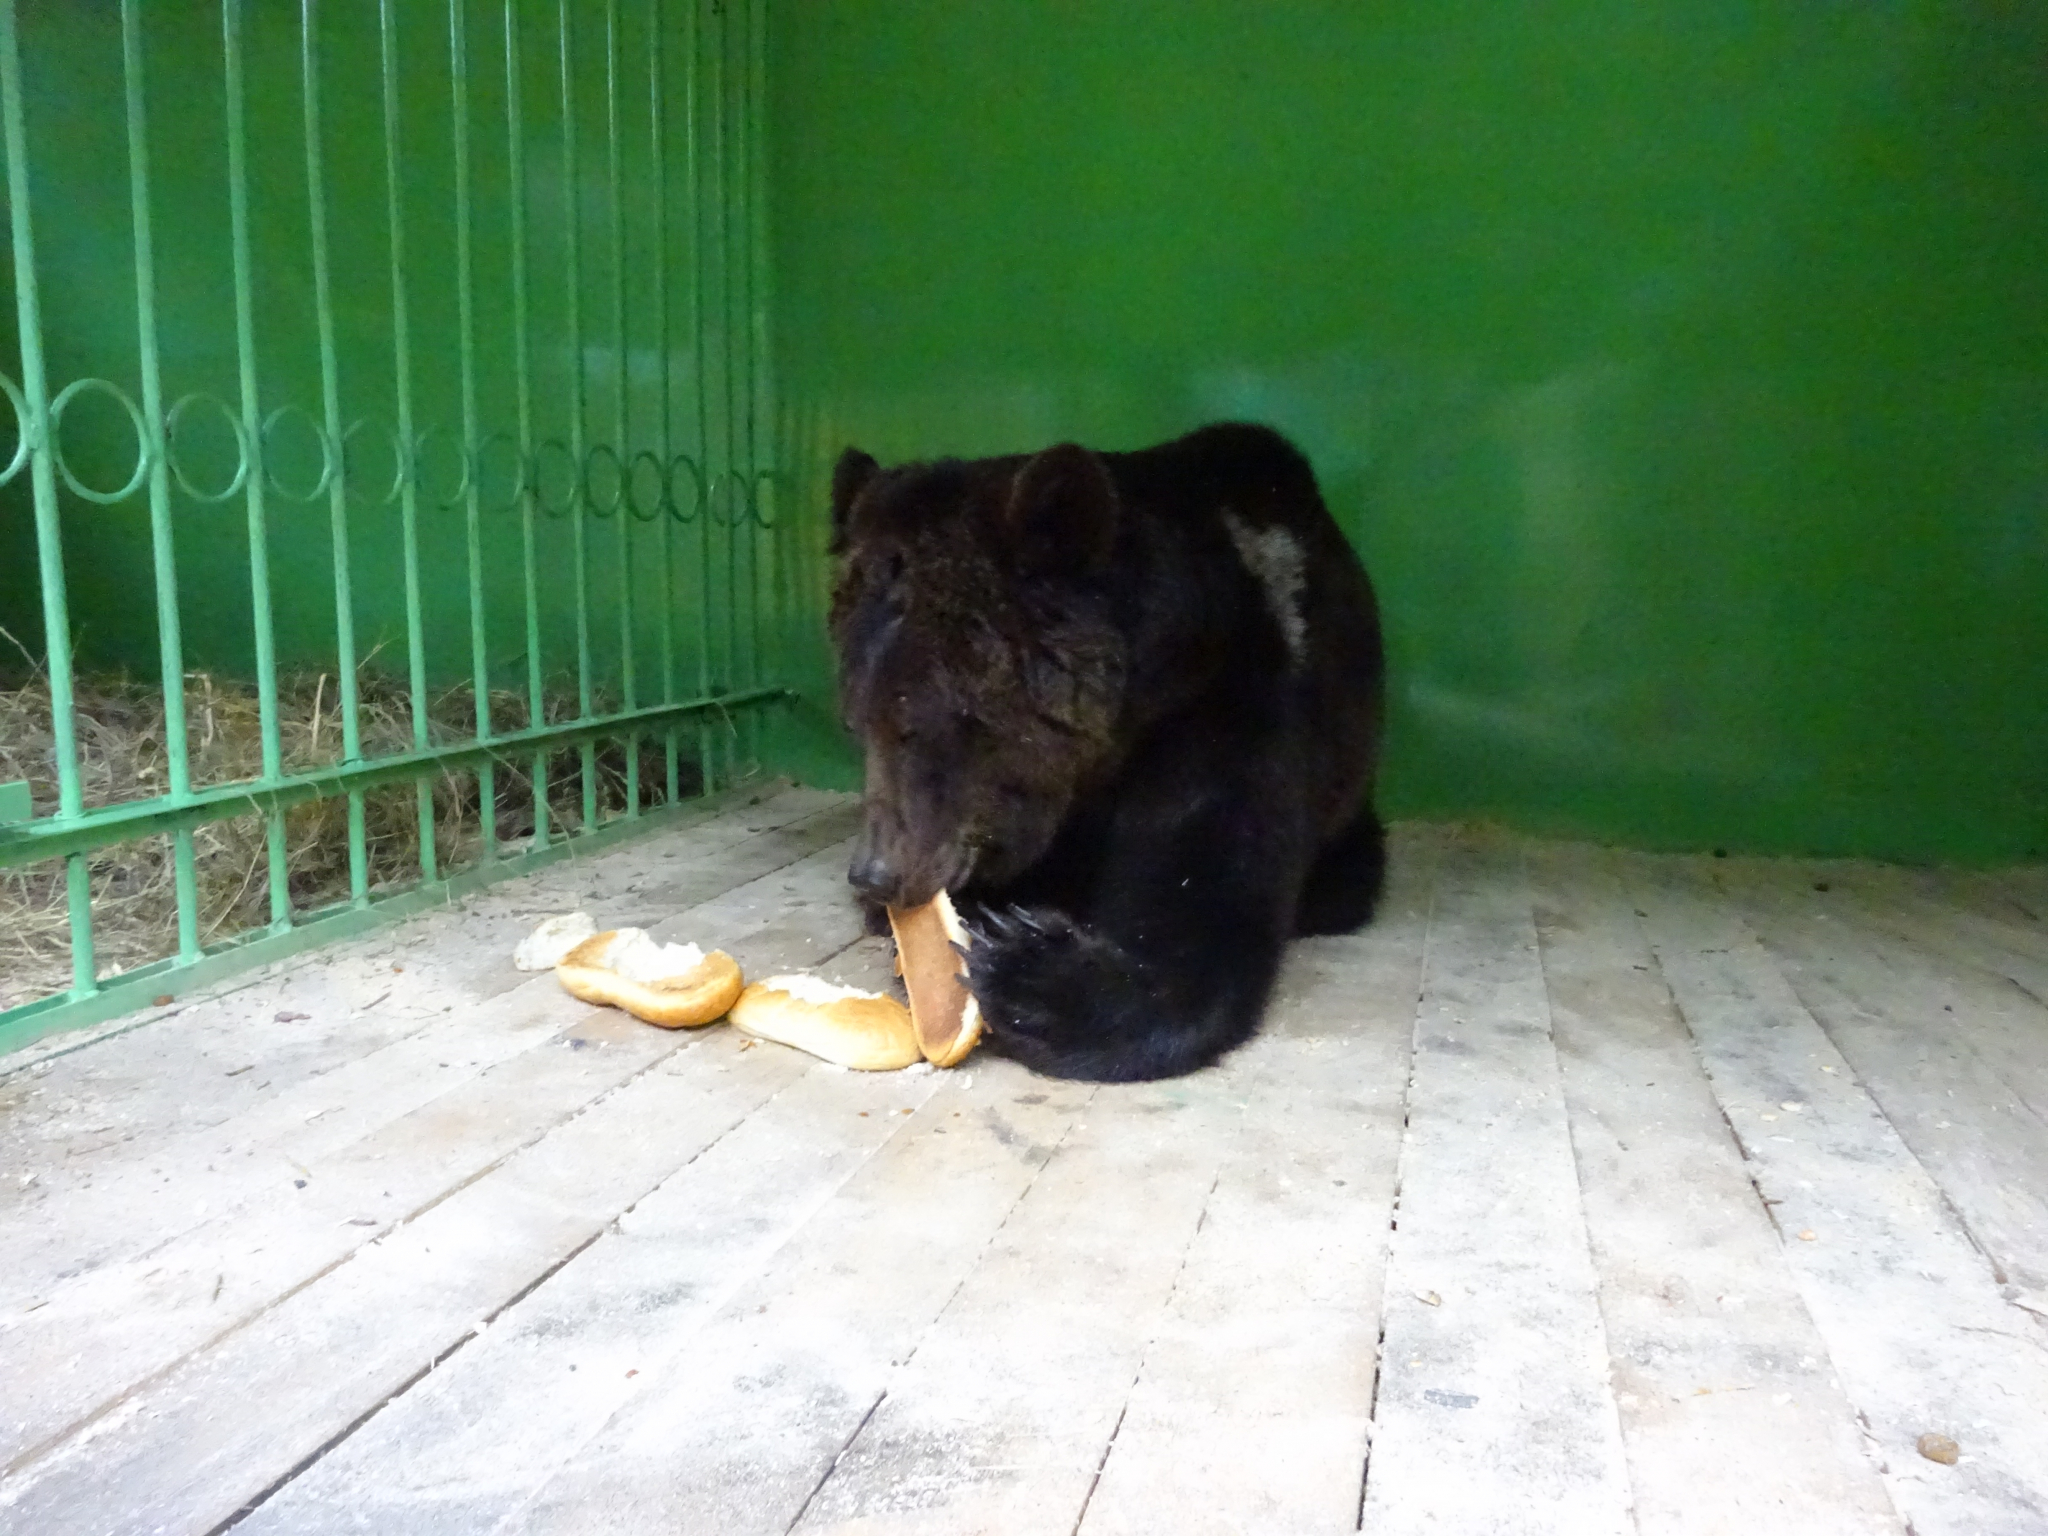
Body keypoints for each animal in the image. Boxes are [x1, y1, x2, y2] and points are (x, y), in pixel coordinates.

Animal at [831, 423, 1392, 1081]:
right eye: (857, 720)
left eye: (920, 722)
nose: (875, 874)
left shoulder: (1230, 715)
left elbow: (1201, 903)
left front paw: (1026, 967)